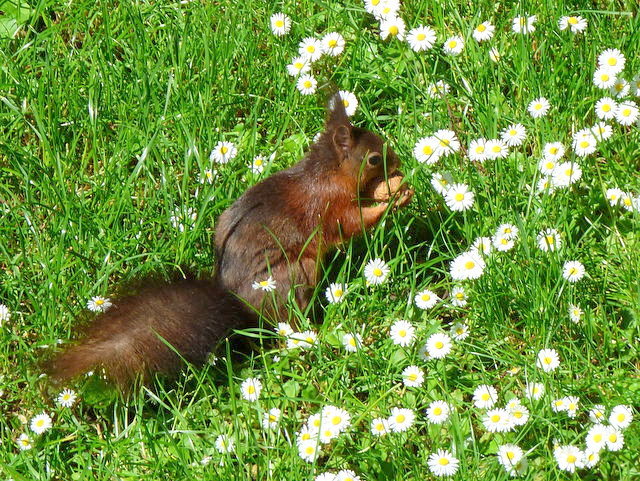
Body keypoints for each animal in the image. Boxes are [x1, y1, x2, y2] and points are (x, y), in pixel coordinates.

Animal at [47, 96, 413, 389]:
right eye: (373, 158)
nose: (397, 163)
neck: (327, 172)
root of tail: (238, 306)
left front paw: (394, 190)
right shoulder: (327, 204)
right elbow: (349, 224)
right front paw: (390, 202)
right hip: (296, 273)